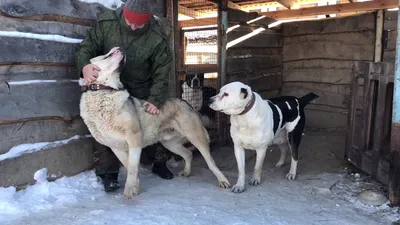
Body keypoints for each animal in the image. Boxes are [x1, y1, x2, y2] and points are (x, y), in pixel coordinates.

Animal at [79, 47, 230, 199]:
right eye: (106, 56)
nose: (120, 48)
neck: (102, 91)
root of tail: (186, 103)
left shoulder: (134, 139)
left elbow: (132, 168)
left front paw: (130, 190)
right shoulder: (116, 147)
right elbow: (129, 166)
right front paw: (136, 186)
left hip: (196, 137)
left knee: (210, 162)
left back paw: (223, 180)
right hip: (170, 143)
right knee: (188, 154)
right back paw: (187, 171)